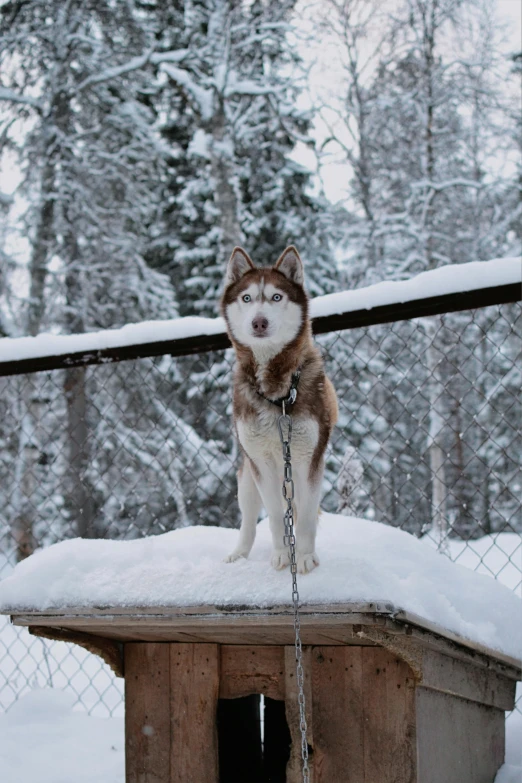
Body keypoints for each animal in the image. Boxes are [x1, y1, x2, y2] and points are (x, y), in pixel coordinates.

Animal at [220, 247, 338, 576]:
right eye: (247, 298)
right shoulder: (262, 461)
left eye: (276, 297)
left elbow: (307, 517)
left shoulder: (309, 459)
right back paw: (238, 554)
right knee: (249, 520)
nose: (259, 323)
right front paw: (283, 555)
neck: (277, 394)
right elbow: (274, 515)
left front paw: (306, 557)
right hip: (247, 476)